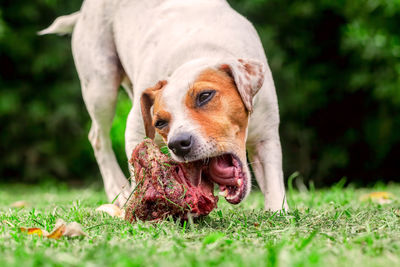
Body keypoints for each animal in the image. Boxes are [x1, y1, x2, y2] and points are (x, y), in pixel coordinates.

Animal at [41, 0, 288, 211]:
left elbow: (274, 184)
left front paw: (278, 211)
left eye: (205, 96)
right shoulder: (135, 129)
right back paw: (117, 190)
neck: (200, 53)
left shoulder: (266, 135)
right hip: (100, 85)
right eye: (159, 122)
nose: (178, 143)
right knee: (98, 138)